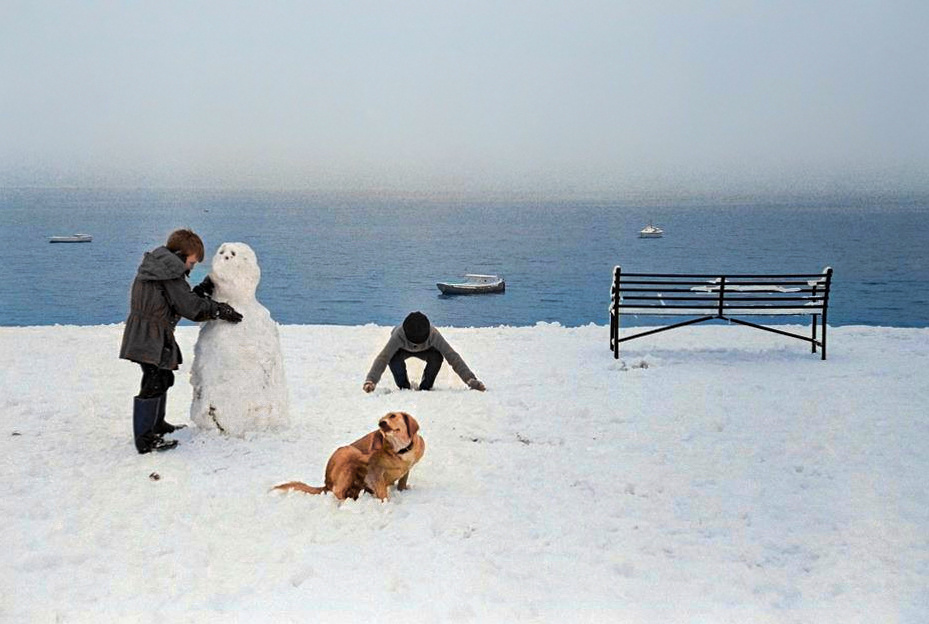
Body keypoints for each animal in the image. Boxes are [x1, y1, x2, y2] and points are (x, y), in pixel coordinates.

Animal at [272, 412, 424, 500]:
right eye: (381, 419)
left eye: (393, 416)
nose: (381, 423)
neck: (401, 450)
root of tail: (326, 483)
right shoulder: (375, 473)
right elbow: (382, 494)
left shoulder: (407, 469)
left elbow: (402, 481)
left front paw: (403, 490)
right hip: (350, 451)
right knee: (337, 491)